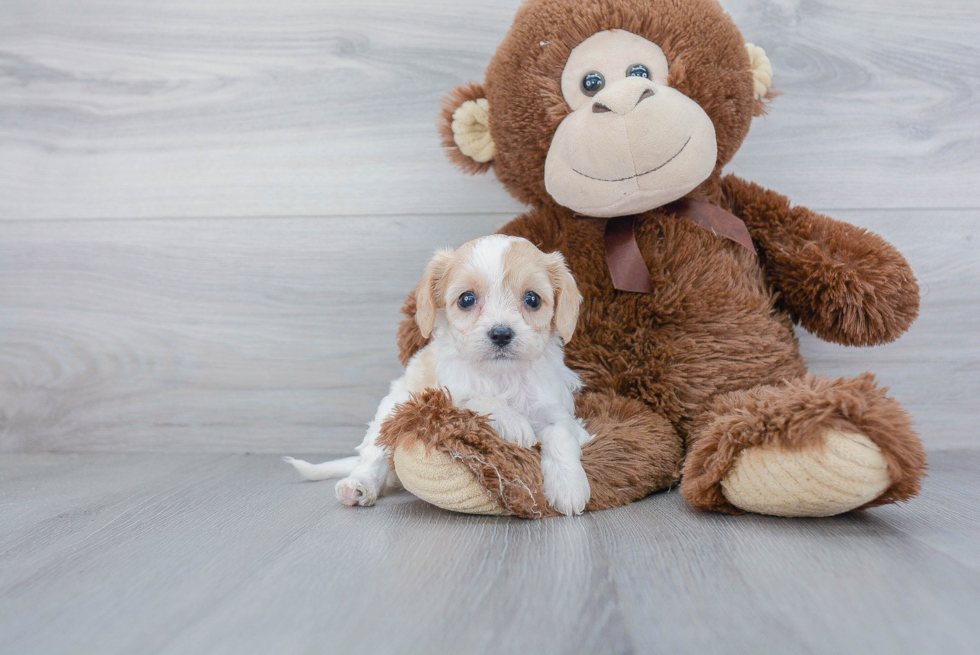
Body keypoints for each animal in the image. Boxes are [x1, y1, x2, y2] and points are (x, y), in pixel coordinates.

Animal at [284, 236, 588, 516]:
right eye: (467, 299)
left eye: (532, 299)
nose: (501, 333)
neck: (500, 377)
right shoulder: (444, 398)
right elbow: (476, 399)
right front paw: (513, 422)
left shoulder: (554, 407)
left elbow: (561, 433)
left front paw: (569, 487)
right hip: (390, 411)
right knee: (372, 458)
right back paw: (357, 485)